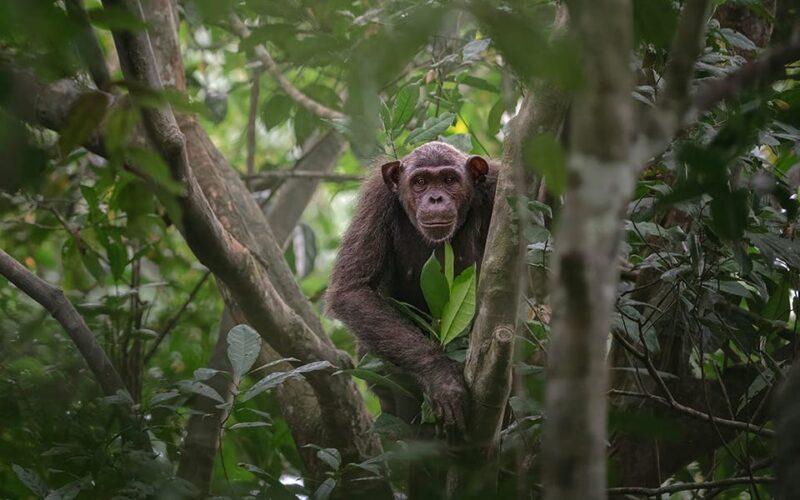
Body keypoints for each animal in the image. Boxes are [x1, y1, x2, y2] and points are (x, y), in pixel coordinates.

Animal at [326, 141, 500, 434]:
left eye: (449, 180)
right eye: (420, 182)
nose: (435, 198)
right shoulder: (377, 199)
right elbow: (352, 289)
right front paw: (441, 376)